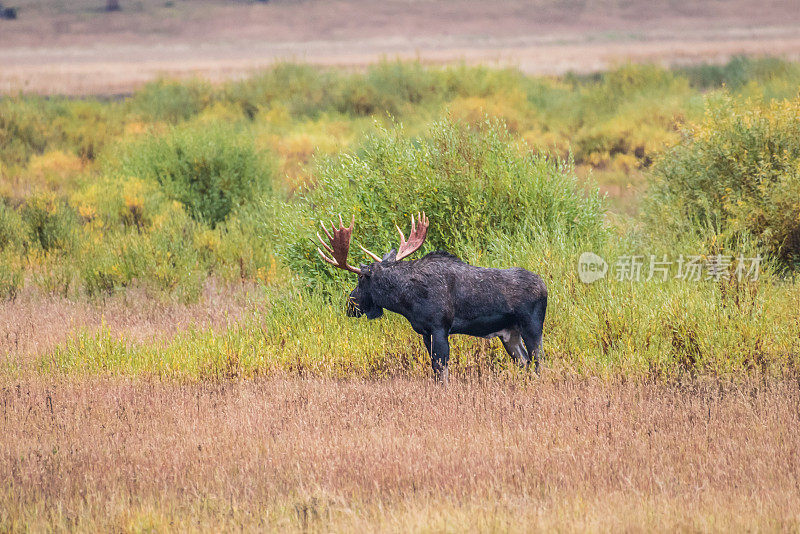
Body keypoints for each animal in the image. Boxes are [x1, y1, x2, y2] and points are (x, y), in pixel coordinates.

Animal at [316, 214, 548, 386]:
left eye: (360, 278)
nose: (350, 304)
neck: (405, 300)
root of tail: (545, 287)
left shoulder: (440, 327)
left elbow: (442, 370)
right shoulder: (424, 332)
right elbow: (435, 370)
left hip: (532, 326)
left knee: (538, 361)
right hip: (509, 334)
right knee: (525, 362)